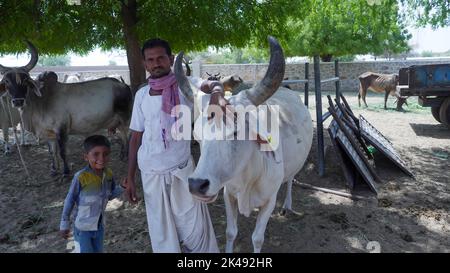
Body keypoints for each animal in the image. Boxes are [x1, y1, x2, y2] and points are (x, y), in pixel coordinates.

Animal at [0, 41, 132, 175]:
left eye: (25, 80)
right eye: (6, 81)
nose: (18, 101)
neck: (41, 102)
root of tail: (123, 84)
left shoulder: (61, 130)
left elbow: (62, 152)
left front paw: (66, 171)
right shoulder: (49, 134)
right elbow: (52, 152)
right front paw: (54, 169)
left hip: (126, 117)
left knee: (128, 135)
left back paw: (128, 157)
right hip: (118, 121)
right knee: (123, 135)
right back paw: (122, 155)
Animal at [176, 37, 312, 252]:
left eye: (235, 131)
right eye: (196, 135)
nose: (197, 185)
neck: (249, 174)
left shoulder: (269, 201)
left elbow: (257, 238)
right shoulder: (228, 194)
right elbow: (231, 232)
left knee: (290, 180)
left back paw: (287, 206)